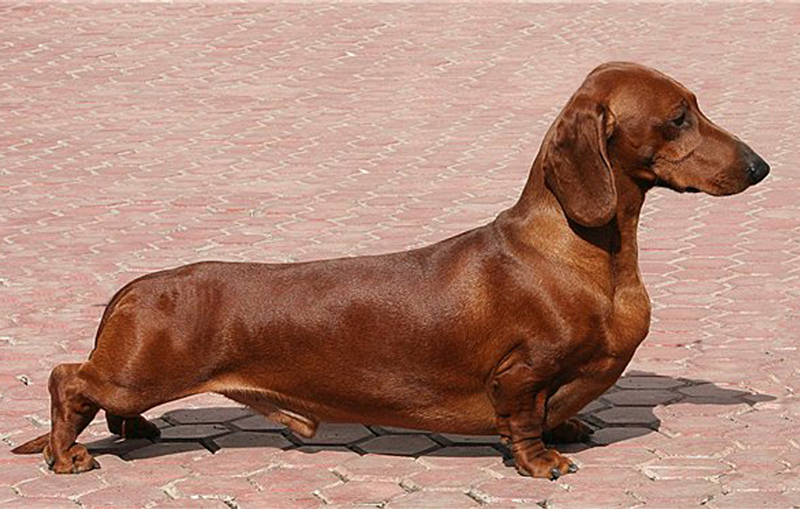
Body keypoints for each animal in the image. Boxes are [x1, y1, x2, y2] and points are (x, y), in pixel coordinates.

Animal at [12, 62, 769, 479]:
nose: (762, 165)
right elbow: (525, 421)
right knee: (68, 378)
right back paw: (68, 453)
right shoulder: (519, 374)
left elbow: (561, 411)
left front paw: (569, 427)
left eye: (694, 106)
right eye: (678, 117)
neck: (583, 255)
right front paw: (543, 459)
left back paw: (130, 431)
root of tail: (135, 286)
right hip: (140, 371)